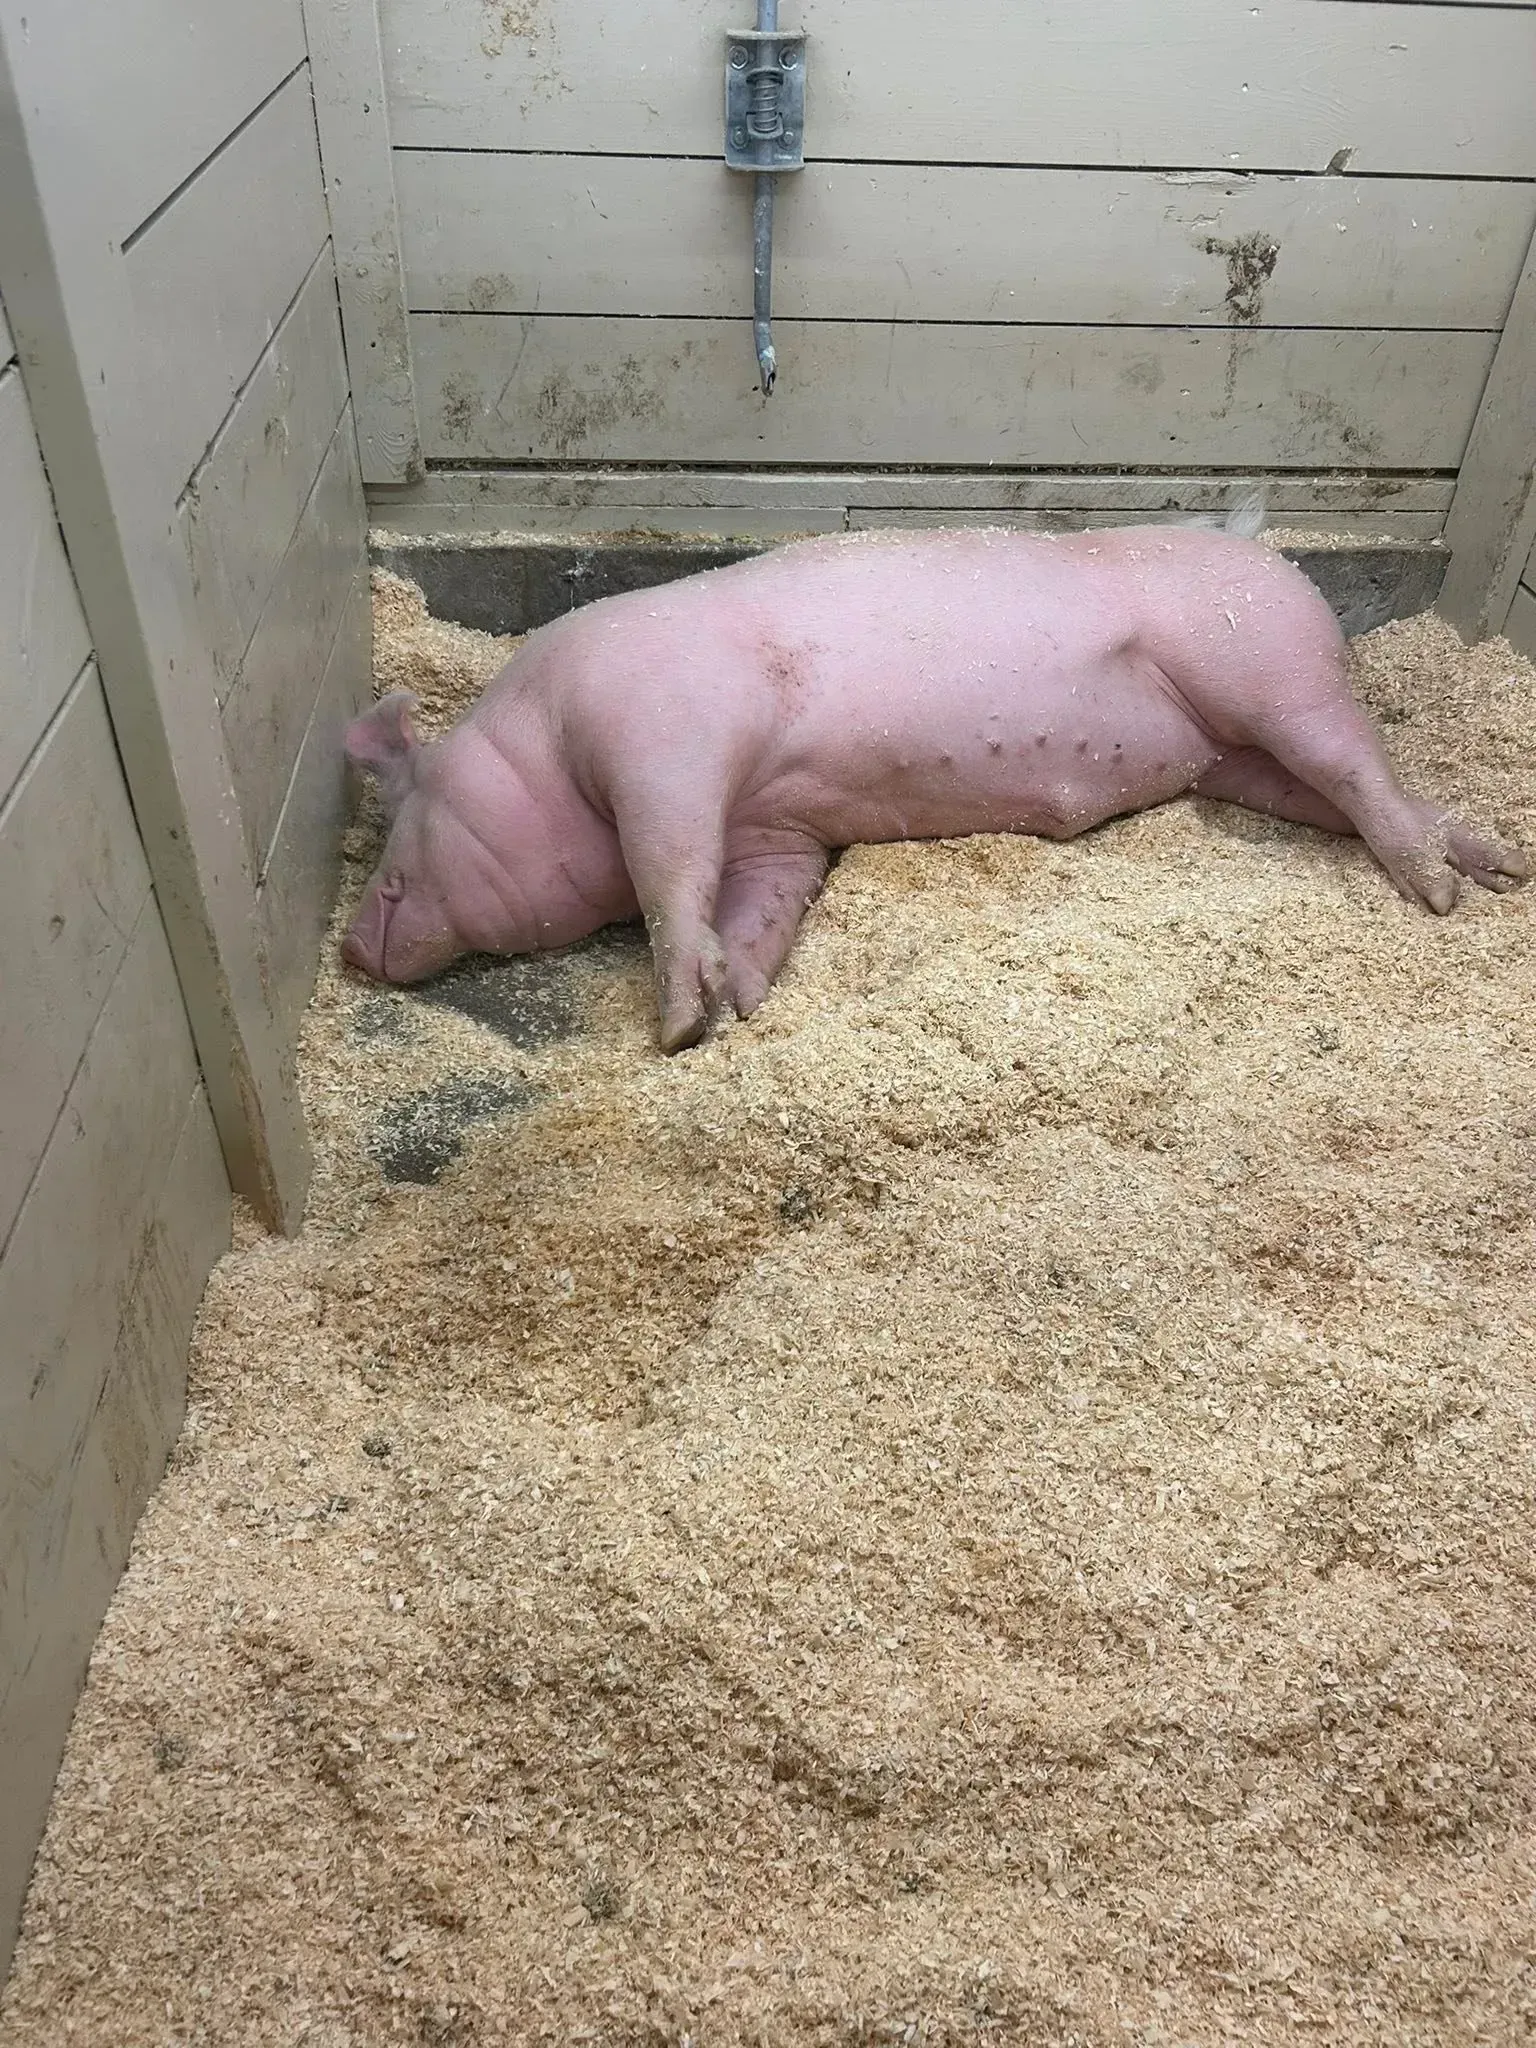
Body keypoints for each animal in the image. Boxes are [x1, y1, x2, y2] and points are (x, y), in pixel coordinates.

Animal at [342, 505, 1525, 1052]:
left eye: (401, 834)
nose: (351, 946)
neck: (539, 743)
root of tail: (1272, 554)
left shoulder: (662, 738)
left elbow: (668, 866)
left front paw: (678, 1021)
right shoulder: (776, 829)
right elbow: (759, 898)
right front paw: (743, 999)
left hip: (1271, 672)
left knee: (1357, 764)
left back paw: (1438, 892)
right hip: (1238, 762)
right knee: (1358, 791)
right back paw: (1500, 864)